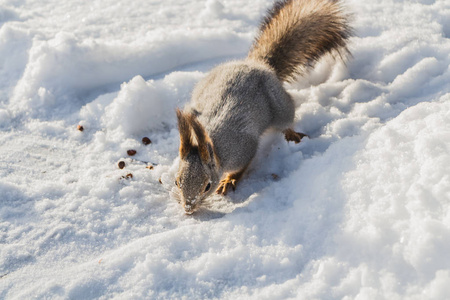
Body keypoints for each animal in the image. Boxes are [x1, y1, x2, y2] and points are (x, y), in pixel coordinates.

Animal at [172, 0, 352, 216]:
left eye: (207, 186)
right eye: (177, 182)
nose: (188, 208)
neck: (213, 144)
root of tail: (259, 64)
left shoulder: (243, 147)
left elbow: (243, 165)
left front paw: (229, 180)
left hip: (280, 106)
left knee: (286, 120)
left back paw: (291, 134)